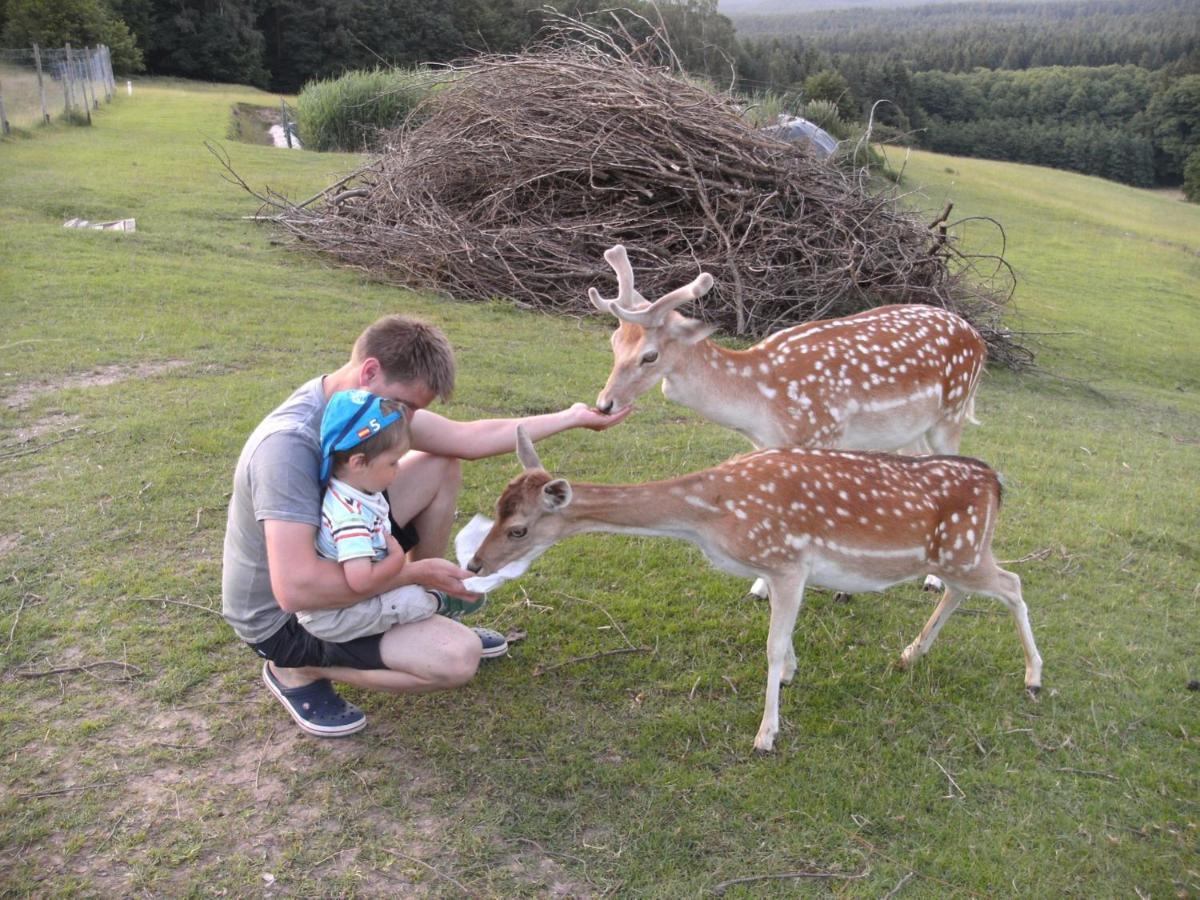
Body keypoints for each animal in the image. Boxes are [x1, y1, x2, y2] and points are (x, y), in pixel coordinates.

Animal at [468, 429, 1041, 753]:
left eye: (517, 529)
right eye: (496, 507)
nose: (474, 563)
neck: (711, 514)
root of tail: (995, 482)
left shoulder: (786, 560)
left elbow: (769, 646)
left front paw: (766, 733)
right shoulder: (789, 570)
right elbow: (783, 643)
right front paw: (791, 674)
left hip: (965, 551)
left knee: (1012, 584)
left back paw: (1033, 676)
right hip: (956, 555)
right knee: (962, 592)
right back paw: (910, 653)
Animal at [585, 243, 988, 602]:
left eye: (649, 356)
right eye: (614, 342)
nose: (604, 404)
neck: (760, 403)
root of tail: (978, 339)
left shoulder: (822, 433)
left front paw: (791, 587)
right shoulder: (768, 445)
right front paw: (763, 588)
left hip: (952, 410)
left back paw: (934, 581)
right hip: (910, 428)